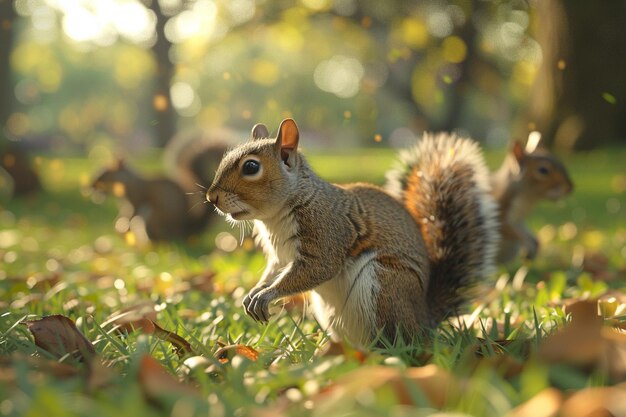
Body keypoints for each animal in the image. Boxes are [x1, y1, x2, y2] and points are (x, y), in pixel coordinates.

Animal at [205, 118, 498, 346]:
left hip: (384, 286)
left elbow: (317, 268)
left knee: (397, 340)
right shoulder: (280, 255)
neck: (275, 217)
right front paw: (255, 292)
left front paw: (267, 295)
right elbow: (273, 270)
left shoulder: (327, 230)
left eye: (251, 167)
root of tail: (423, 318)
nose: (211, 197)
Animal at [490, 132, 572, 264]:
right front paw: (527, 243)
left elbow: (524, 230)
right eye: (543, 170)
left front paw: (535, 243)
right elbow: (509, 230)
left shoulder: (519, 220)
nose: (570, 187)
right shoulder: (500, 209)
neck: (529, 199)